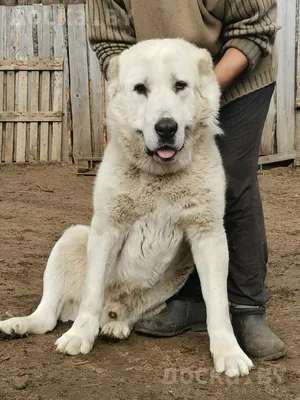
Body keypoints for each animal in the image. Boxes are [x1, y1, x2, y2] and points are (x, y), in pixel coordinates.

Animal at [0, 39, 253, 376]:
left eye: (180, 85)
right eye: (140, 89)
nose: (166, 127)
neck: (160, 176)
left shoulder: (208, 235)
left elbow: (219, 304)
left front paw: (228, 352)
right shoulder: (107, 228)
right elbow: (92, 293)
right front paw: (79, 337)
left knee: (122, 313)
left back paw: (116, 326)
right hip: (73, 237)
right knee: (48, 317)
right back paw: (21, 325)